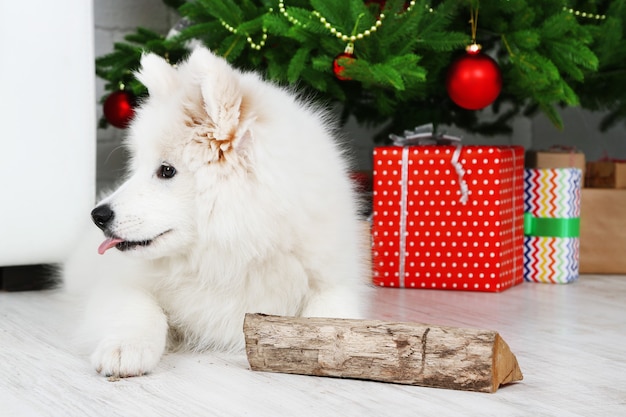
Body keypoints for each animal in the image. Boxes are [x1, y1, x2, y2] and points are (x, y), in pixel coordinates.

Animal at [61, 48, 368, 376]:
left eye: (166, 171)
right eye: (138, 166)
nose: (98, 215)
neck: (232, 254)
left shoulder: (333, 281)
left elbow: (330, 313)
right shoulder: (119, 283)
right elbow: (140, 308)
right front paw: (125, 347)